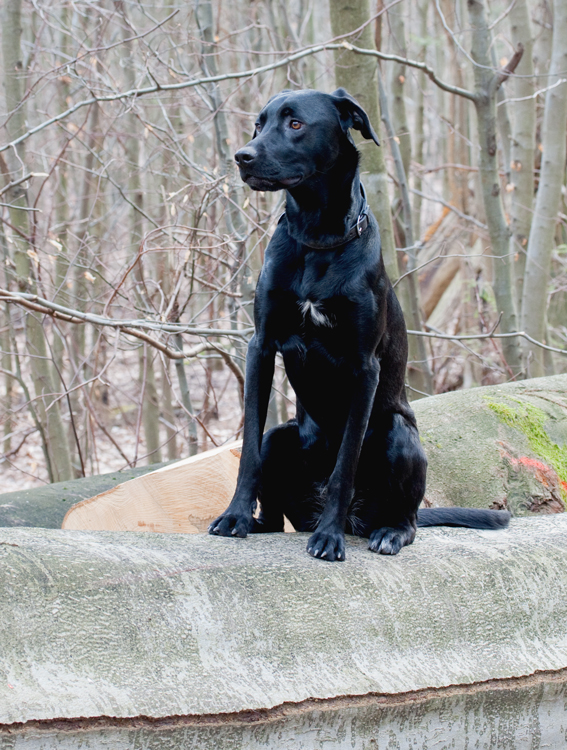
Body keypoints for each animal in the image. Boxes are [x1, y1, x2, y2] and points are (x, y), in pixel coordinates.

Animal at [209, 88, 510, 560]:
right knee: (275, 506)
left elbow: (345, 465)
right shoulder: (262, 345)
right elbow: (249, 449)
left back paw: (382, 532)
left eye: (295, 124)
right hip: (282, 436)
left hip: (398, 436)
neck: (318, 240)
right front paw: (234, 516)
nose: (243, 156)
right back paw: (261, 524)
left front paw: (328, 538)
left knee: (407, 519)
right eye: (258, 125)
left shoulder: (364, 367)